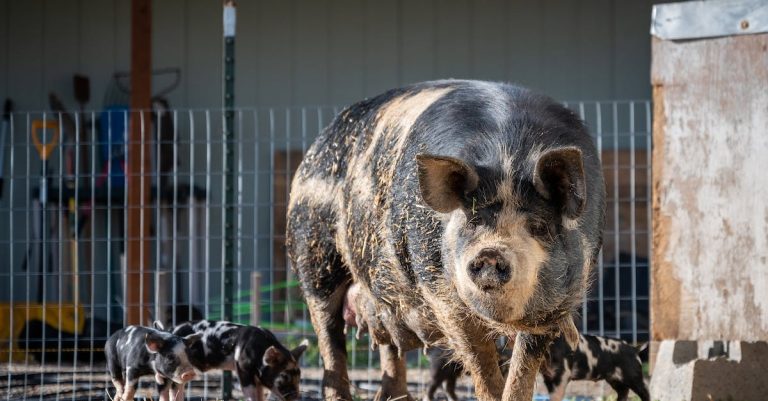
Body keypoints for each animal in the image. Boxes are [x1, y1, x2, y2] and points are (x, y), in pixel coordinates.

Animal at [168, 320, 308, 401]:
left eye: (299, 377)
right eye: (284, 376)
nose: (297, 397)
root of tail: (171, 329)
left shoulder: (257, 378)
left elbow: (260, 394)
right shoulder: (241, 366)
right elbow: (250, 393)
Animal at [288, 79, 608, 398]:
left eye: (538, 226)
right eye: (473, 222)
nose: (491, 253)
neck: (508, 159)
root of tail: (316, 147)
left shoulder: (557, 304)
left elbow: (522, 370)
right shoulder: (443, 297)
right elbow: (481, 364)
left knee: (389, 344)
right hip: (311, 254)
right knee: (329, 337)